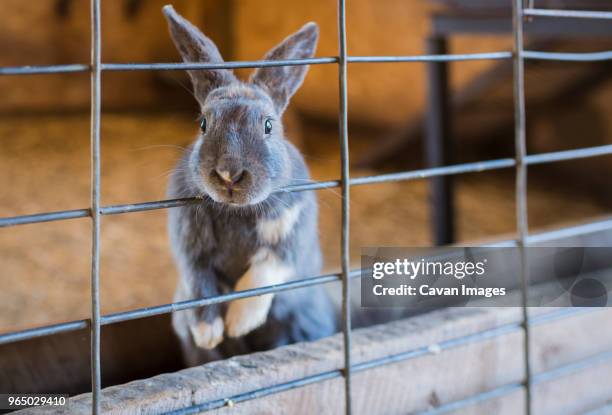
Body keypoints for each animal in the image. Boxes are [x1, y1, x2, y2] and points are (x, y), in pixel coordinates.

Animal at [160, 4, 338, 366]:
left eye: (269, 125)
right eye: (203, 123)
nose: (229, 173)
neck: (235, 210)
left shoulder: (290, 236)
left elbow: (264, 273)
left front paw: (239, 322)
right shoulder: (190, 248)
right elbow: (199, 283)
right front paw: (210, 332)